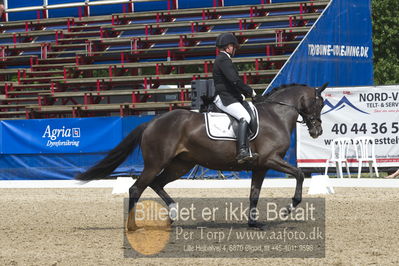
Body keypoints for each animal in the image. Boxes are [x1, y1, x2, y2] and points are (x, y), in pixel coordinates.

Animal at [76, 83, 328, 231]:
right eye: (319, 102)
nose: (317, 131)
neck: (276, 115)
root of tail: (152, 122)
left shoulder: (260, 166)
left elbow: (254, 194)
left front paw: (253, 222)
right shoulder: (270, 159)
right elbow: (299, 174)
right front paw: (289, 207)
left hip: (181, 165)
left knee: (157, 184)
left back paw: (173, 214)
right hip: (157, 162)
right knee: (136, 188)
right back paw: (133, 226)